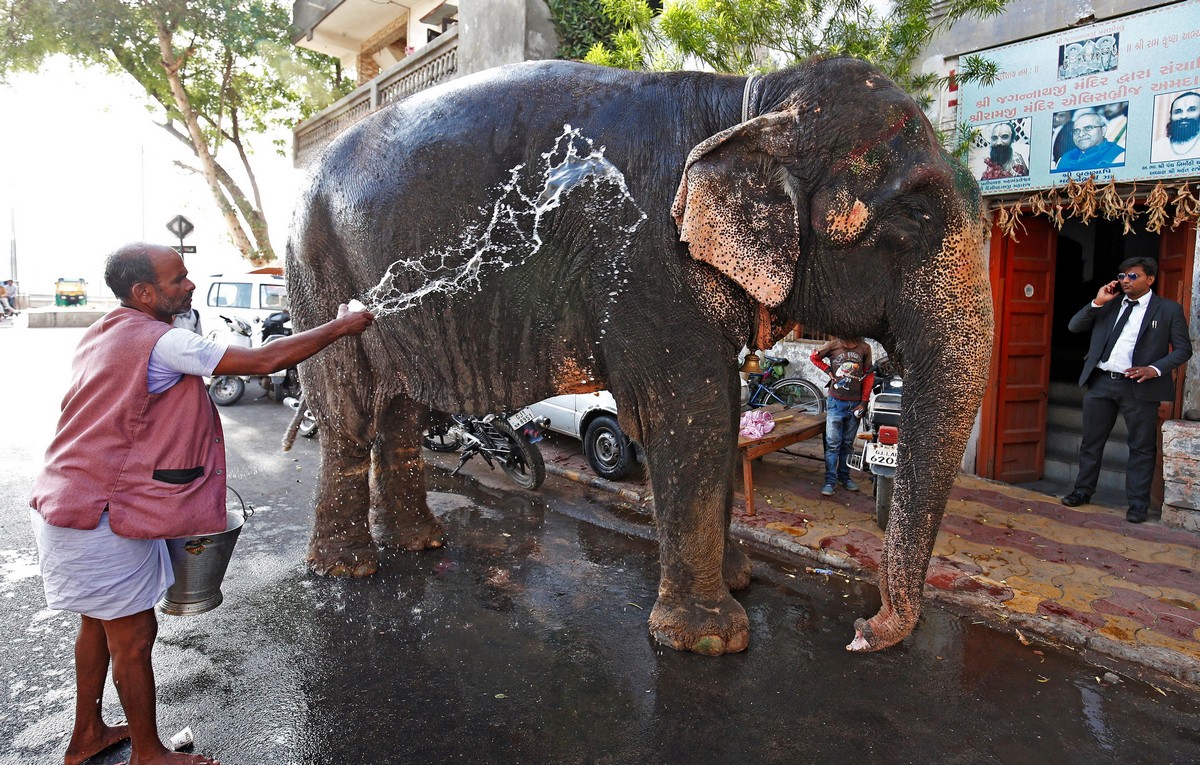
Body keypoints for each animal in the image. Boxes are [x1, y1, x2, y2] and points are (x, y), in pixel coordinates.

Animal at [288, 58, 993, 661]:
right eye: (914, 215)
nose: (861, 631)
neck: (753, 99)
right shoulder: (647, 264)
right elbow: (692, 415)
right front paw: (709, 640)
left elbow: (718, 412)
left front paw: (737, 581)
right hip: (318, 271)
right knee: (350, 411)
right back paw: (349, 568)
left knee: (399, 411)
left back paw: (418, 542)